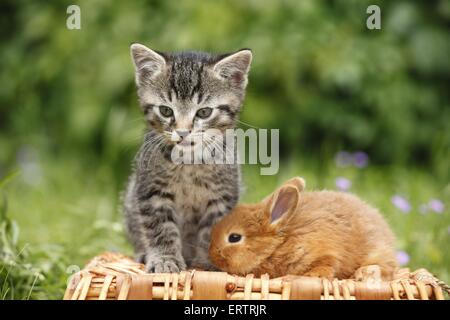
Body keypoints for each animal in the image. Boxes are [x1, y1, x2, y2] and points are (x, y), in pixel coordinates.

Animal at [123, 43, 251, 272]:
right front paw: (165, 260)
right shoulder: (151, 192)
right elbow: (160, 229)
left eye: (204, 112)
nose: (182, 132)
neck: (189, 163)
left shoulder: (223, 196)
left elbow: (212, 231)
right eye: (166, 111)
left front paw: (208, 263)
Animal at [208, 178, 398, 280]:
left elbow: (328, 265)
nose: (212, 254)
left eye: (234, 237)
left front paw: (309, 276)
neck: (279, 244)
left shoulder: (325, 251)